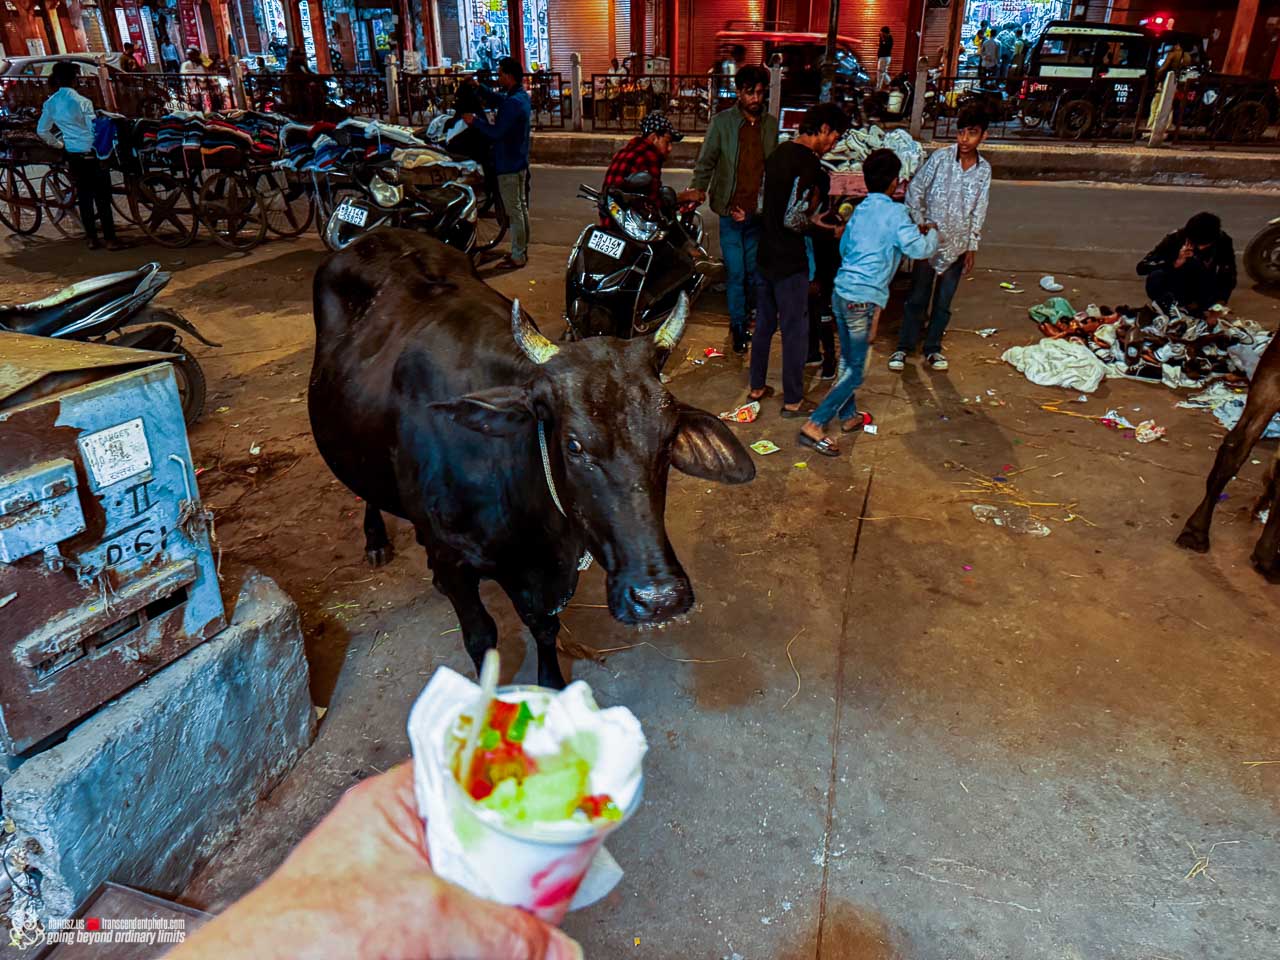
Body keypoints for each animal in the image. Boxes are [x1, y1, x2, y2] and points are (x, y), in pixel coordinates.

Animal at [309, 230, 755, 688]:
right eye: (573, 445)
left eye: (667, 439)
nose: (659, 598)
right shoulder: (457, 564)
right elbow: (481, 637)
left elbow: (543, 625)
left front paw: (552, 682)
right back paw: (376, 540)